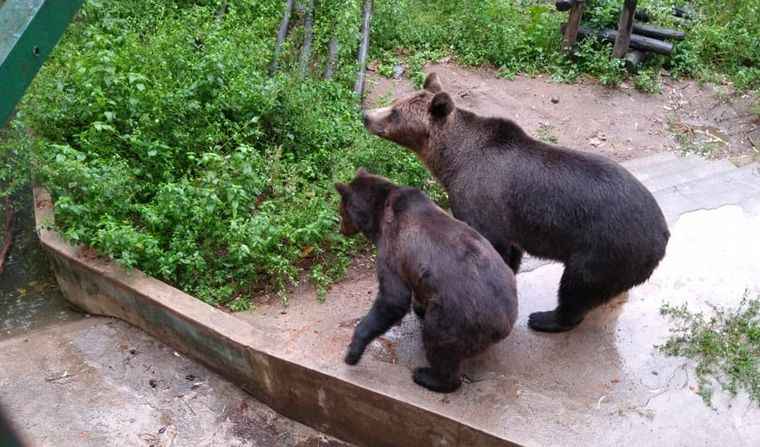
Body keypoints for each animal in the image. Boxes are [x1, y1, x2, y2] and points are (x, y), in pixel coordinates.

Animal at [335, 168, 517, 393]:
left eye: (341, 212)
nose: (341, 229)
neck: (379, 216)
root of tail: (504, 323)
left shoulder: (392, 247)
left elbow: (393, 297)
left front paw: (352, 351)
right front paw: (418, 305)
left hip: (456, 318)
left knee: (438, 343)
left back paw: (428, 376)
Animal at [362, 72, 670, 333]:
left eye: (395, 112)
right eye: (394, 102)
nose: (366, 115)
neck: (453, 161)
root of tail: (663, 233)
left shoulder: (482, 198)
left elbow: (490, 244)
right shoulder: (511, 220)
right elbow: (511, 253)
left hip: (605, 247)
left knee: (577, 285)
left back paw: (546, 318)